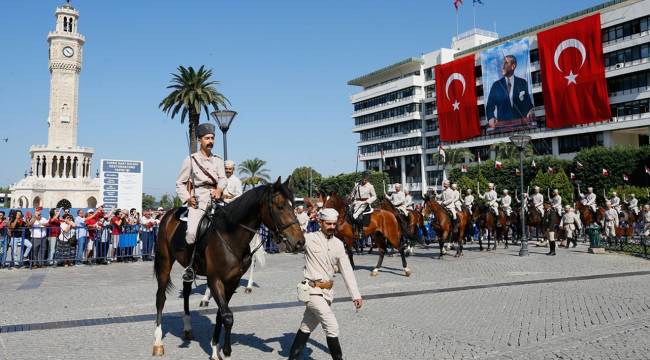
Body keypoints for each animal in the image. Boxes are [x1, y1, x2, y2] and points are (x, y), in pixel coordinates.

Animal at [152, 179, 304, 358]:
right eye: (280, 206)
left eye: (293, 206)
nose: (300, 242)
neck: (230, 236)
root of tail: (169, 214)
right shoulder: (215, 280)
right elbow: (227, 316)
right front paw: (222, 351)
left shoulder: (232, 281)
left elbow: (221, 315)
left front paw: (217, 348)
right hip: (164, 263)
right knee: (160, 298)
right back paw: (158, 342)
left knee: (187, 291)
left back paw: (188, 328)